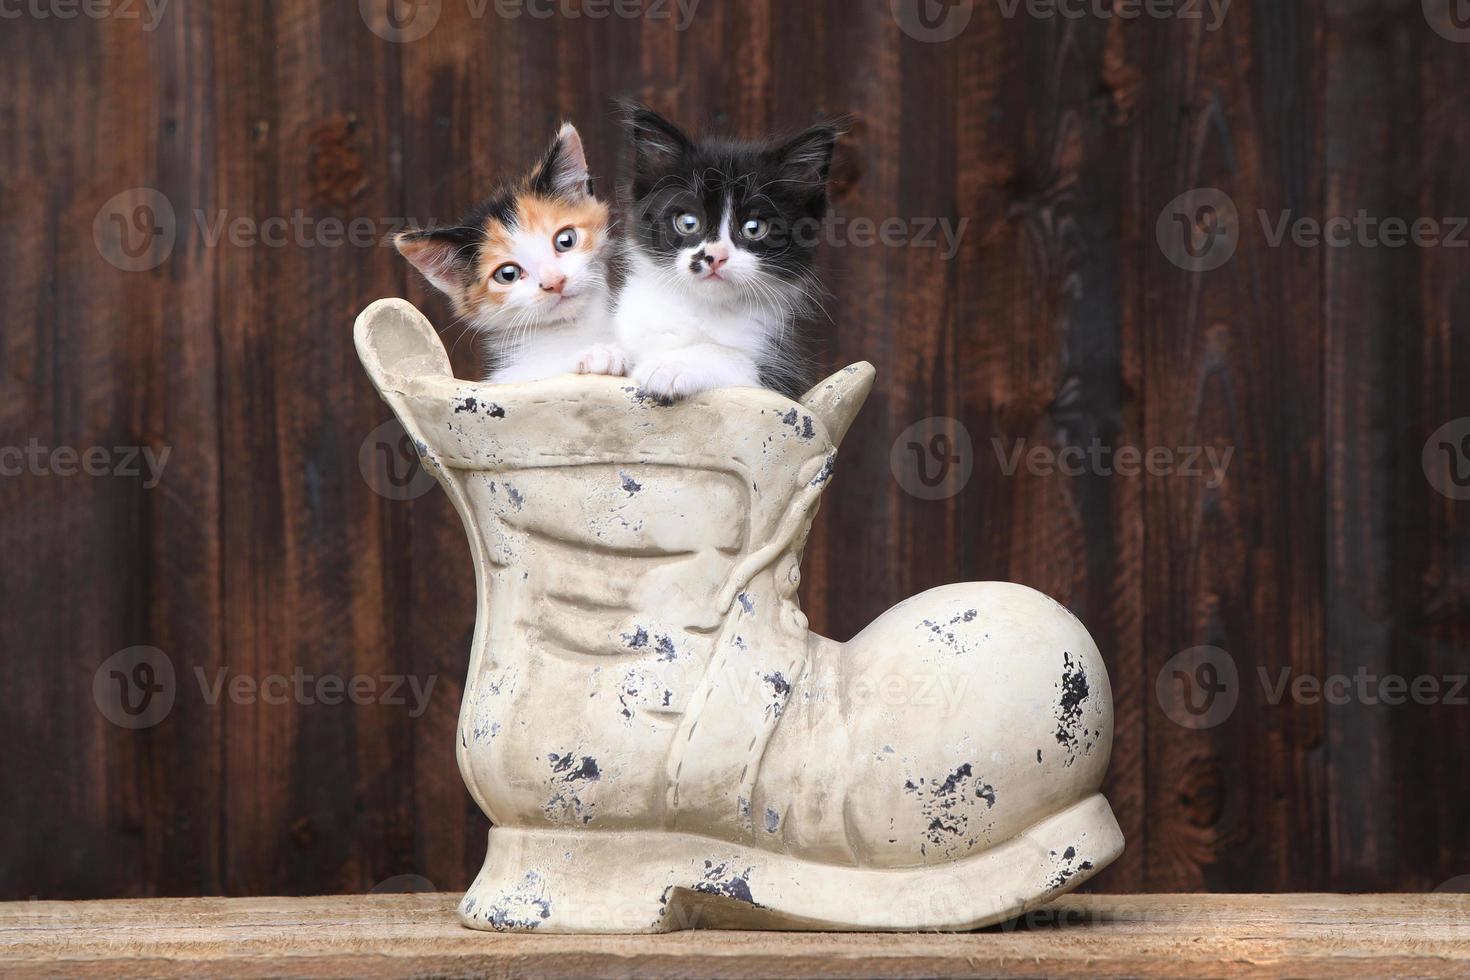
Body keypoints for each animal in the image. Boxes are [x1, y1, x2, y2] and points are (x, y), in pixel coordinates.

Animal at [608, 101, 846, 399]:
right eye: (688, 222)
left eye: (754, 228)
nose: (715, 256)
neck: (703, 308)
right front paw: (600, 354)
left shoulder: (781, 374)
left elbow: (729, 355)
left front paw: (671, 366)